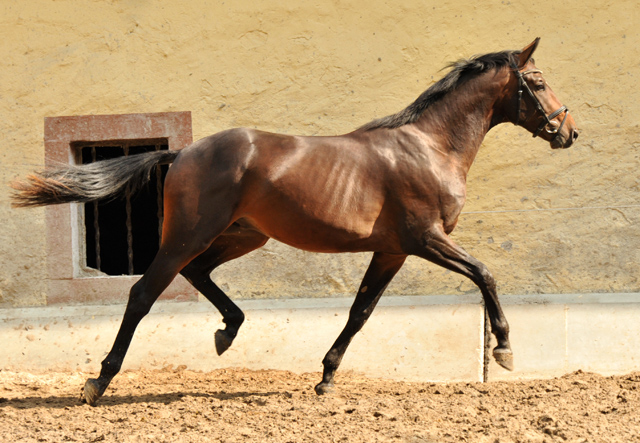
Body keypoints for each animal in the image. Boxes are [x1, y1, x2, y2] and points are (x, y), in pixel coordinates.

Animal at [11, 38, 580, 406]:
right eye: (538, 81)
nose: (569, 131)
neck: (429, 148)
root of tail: (182, 153)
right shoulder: (425, 239)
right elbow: (486, 273)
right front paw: (504, 350)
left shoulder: (392, 250)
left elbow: (360, 312)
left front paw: (325, 379)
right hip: (188, 236)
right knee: (143, 294)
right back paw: (97, 384)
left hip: (244, 236)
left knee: (199, 275)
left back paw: (227, 331)